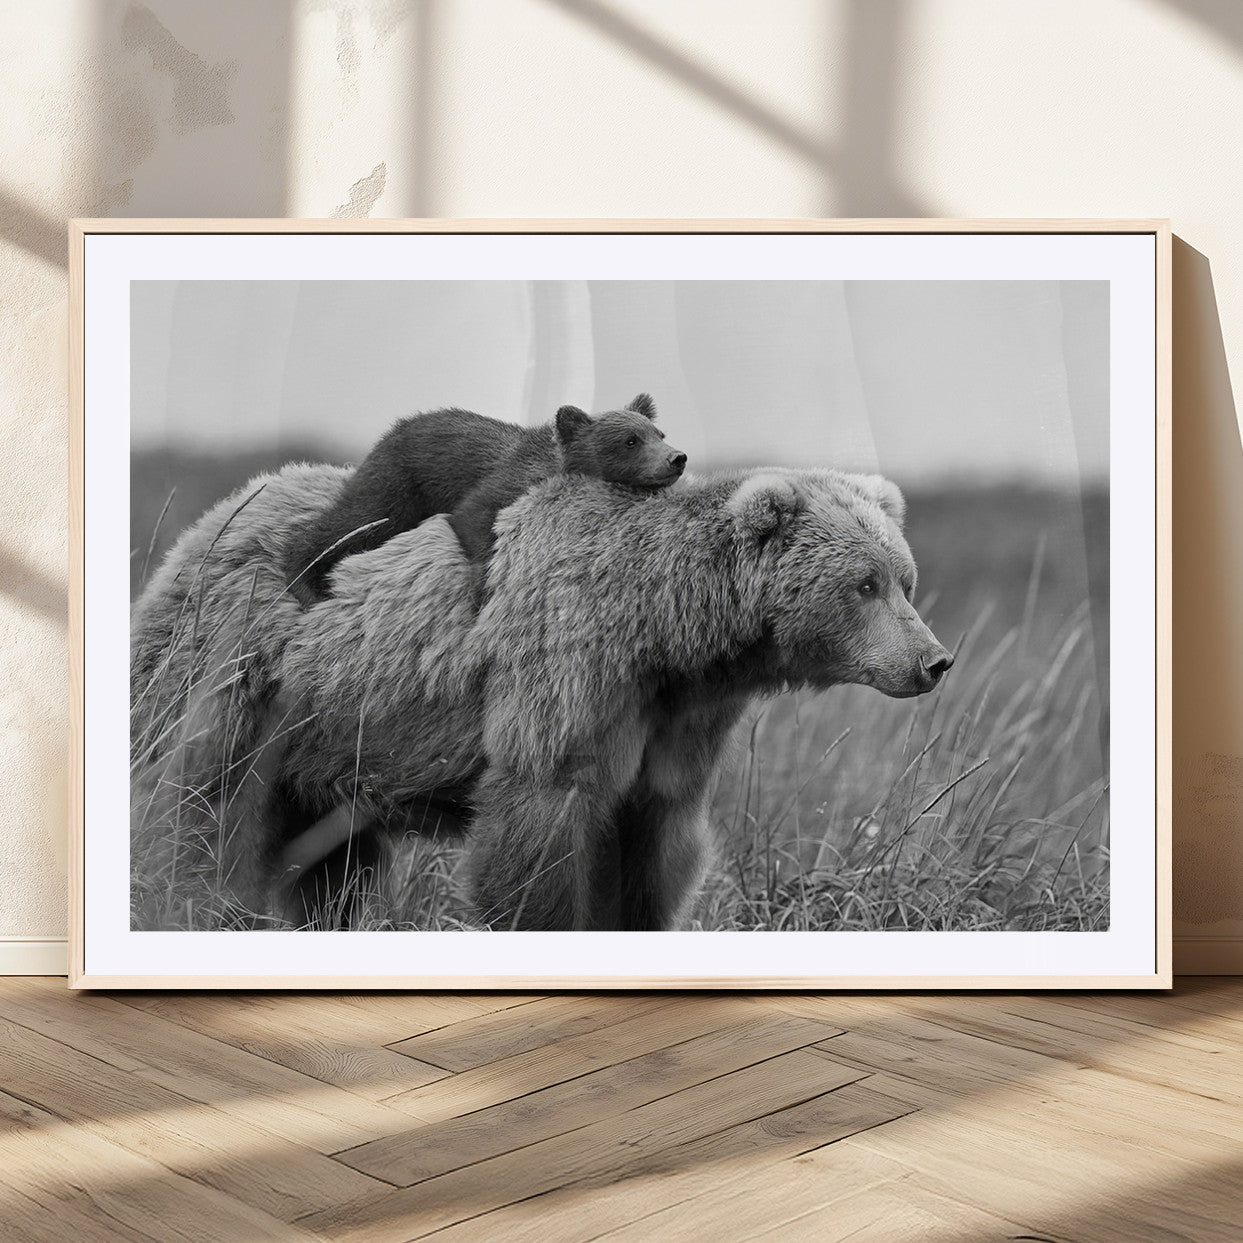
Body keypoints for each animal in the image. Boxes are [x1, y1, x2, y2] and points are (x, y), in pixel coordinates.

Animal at [130, 459, 953, 932]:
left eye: (904, 579)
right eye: (865, 584)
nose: (933, 659)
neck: (669, 633)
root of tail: (216, 515)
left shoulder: (677, 719)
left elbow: (655, 842)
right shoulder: (569, 672)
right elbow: (541, 822)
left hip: (332, 735)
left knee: (332, 861)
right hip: (241, 675)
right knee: (200, 807)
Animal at [282, 394, 686, 606]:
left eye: (659, 433)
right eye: (630, 440)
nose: (676, 458)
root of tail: (394, 428)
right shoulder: (505, 481)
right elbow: (474, 515)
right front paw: (483, 587)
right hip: (398, 482)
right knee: (355, 521)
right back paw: (305, 581)